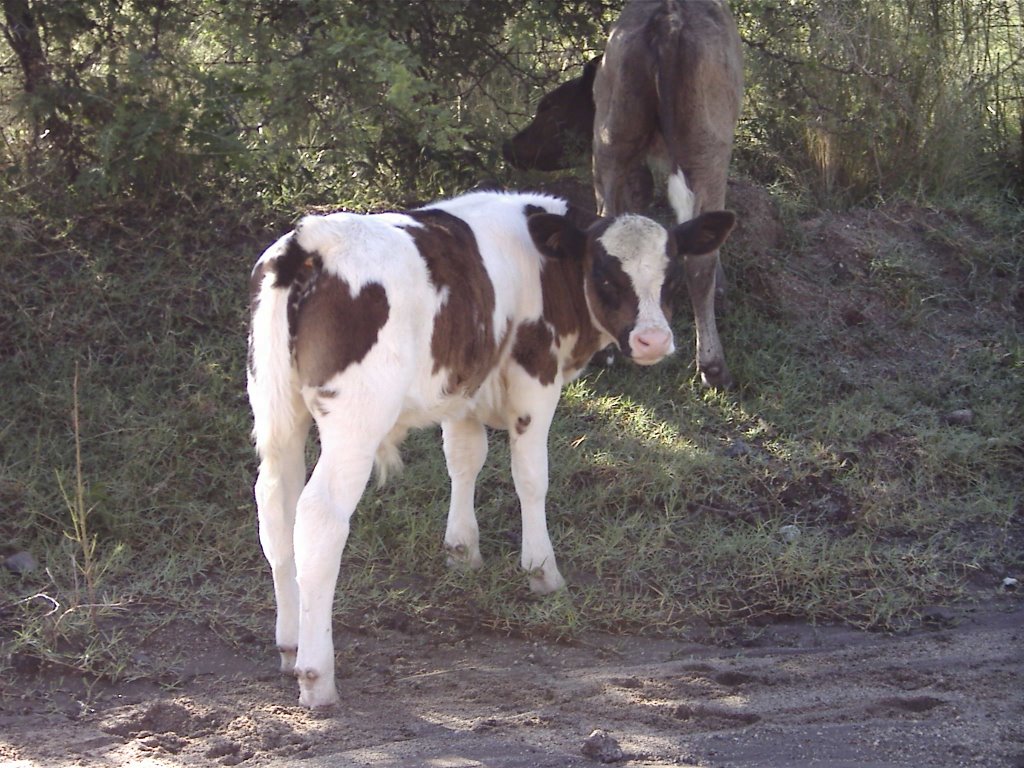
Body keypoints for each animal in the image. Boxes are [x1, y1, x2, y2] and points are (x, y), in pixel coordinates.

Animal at [246, 189, 733, 708]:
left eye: (672, 275)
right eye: (604, 274)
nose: (653, 340)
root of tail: (309, 242)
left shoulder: (464, 387)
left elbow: (464, 459)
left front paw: (463, 552)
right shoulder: (535, 379)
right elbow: (531, 477)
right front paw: (542, 571)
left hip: (277, 415)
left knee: (276, 508)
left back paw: (290, 644)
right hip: (355, 419)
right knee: (319, 517)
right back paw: (317, 675)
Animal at [503, 0, 745, 387]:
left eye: (548, 107)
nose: (508, 147)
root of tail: (667, 17)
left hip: (615, 141)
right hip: (700, 151)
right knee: (698, 265)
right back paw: (712, 365)